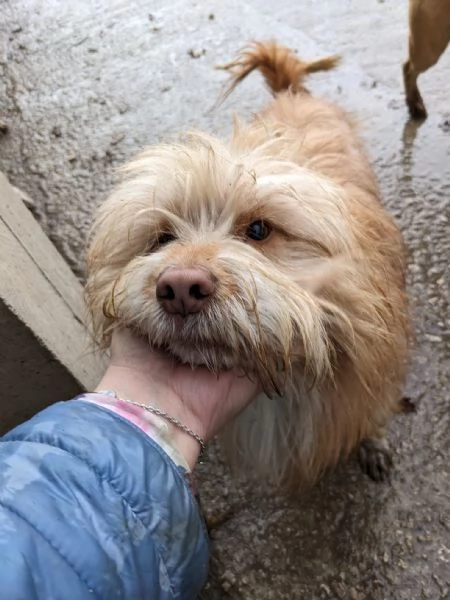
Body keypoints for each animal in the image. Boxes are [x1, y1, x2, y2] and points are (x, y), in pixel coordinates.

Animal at [85, 41, 412, 488]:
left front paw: (374, 442)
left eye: (259, 229)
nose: (180, 288)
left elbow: (373, 414)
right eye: (163, 237)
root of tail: (293, 93)